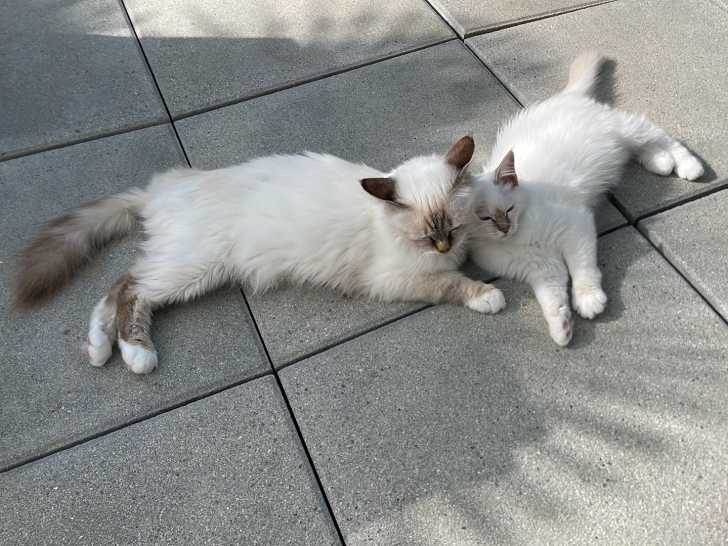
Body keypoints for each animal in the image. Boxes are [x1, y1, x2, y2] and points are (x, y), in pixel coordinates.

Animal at [15, 136, 506, 374]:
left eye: (451, 230)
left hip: (180, 264)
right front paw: (487, 295)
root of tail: (163, 187)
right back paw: (137, 355)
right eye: (427, 238)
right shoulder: (396, 279)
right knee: (133, 290)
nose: (445, 247)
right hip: (194, 268)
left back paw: (97, 349)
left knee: (114, 289)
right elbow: (452, 282)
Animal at [468, 51, 703, 346]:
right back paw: (660, 162)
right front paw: (561, 325)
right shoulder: (539, 266)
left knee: (659, 135)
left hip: (624, 129)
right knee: (640, 149)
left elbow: (582, 268)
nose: (505, 228)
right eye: (485, 217)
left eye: (508, 209)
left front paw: (588, 299)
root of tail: (565, 96)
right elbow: (551, 295)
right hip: (619, 145)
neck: (519, 237)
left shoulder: (575, 228)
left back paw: (688, 165)